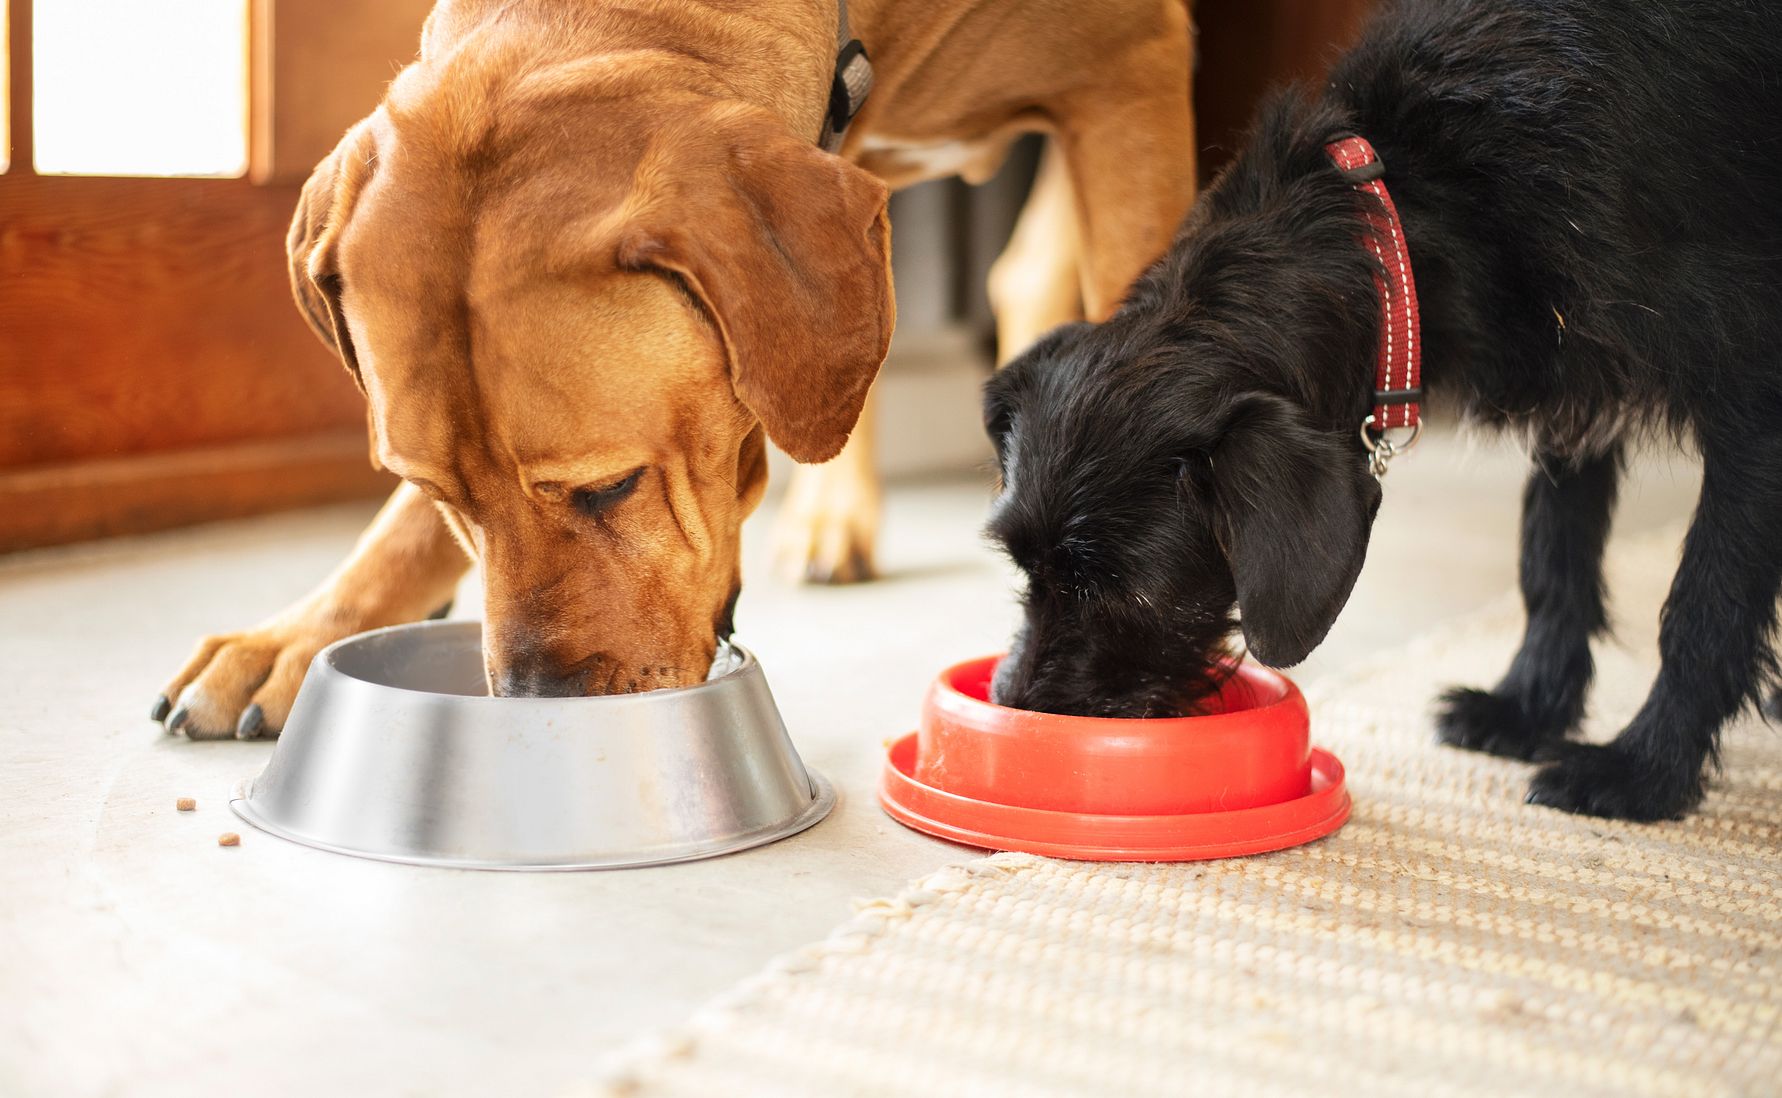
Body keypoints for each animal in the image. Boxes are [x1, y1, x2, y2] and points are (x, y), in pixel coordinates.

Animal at [983, 0, 1782, 823]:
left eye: (1124, 592)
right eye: (1023, 566)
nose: (1016, 706)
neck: (1420, 196)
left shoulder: (1752, 401)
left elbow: (1704, 604)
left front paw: (1643, 770)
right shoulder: (1575, 382)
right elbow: (1553, 551)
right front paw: (1527, 709)